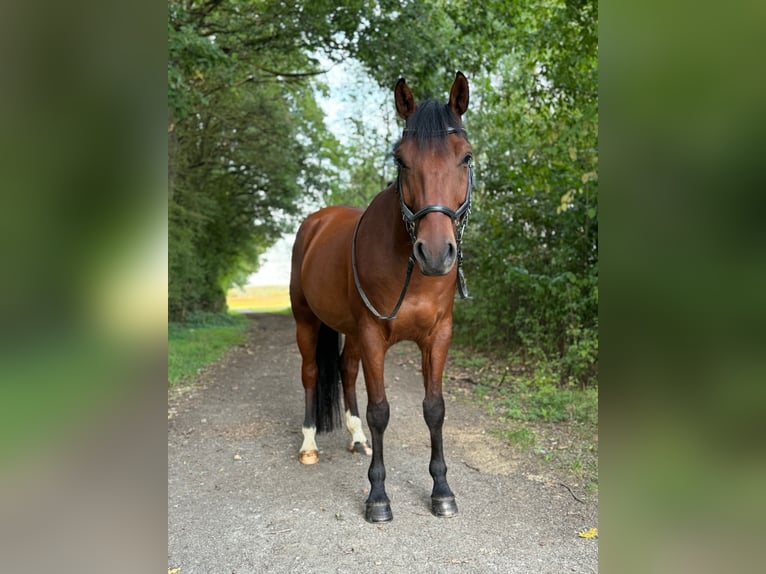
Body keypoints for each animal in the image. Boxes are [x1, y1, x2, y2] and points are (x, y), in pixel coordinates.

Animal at [289, 72, 474, 523]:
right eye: (401, 160)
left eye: (465, 158)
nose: (436, 253)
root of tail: (316, 221)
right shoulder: (374, 334)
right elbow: (380, 411)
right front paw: (377, 497)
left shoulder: (437, 337)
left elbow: (434, 408)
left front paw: (442, 491)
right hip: (306, 321)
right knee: (311, 374)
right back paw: (309, 445)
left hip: (351, 332)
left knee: (345, 370)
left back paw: (356, 438)